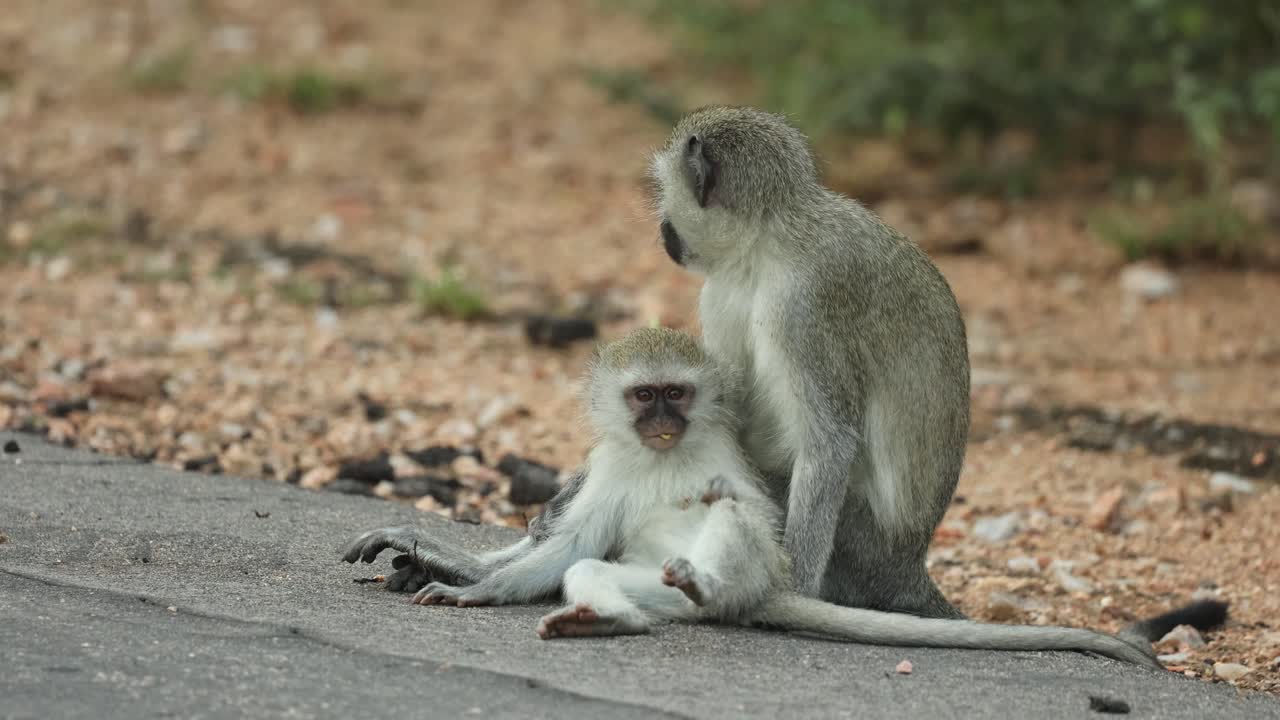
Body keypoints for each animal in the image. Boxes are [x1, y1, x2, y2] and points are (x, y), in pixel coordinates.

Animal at [392, 327, 1173, 667]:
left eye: (678, 394)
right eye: (644, 396)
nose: (665, 422)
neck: (661, 456)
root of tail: (750, 596)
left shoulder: (723, 459)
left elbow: (754, 508)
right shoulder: (613, 467)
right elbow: (572, 546)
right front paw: (470, 588)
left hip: (741, 578)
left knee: (732, 523)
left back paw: (702, 582)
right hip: (650, 587)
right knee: (593, 571)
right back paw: (609, 620)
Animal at [649, 105, 973, 618]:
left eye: (665, 190)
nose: (664, 229)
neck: (770, 241)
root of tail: (908, 565)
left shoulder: (801, 306)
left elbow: (830, 442)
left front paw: (791, 586)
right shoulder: (722, 290)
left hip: (862, 543)